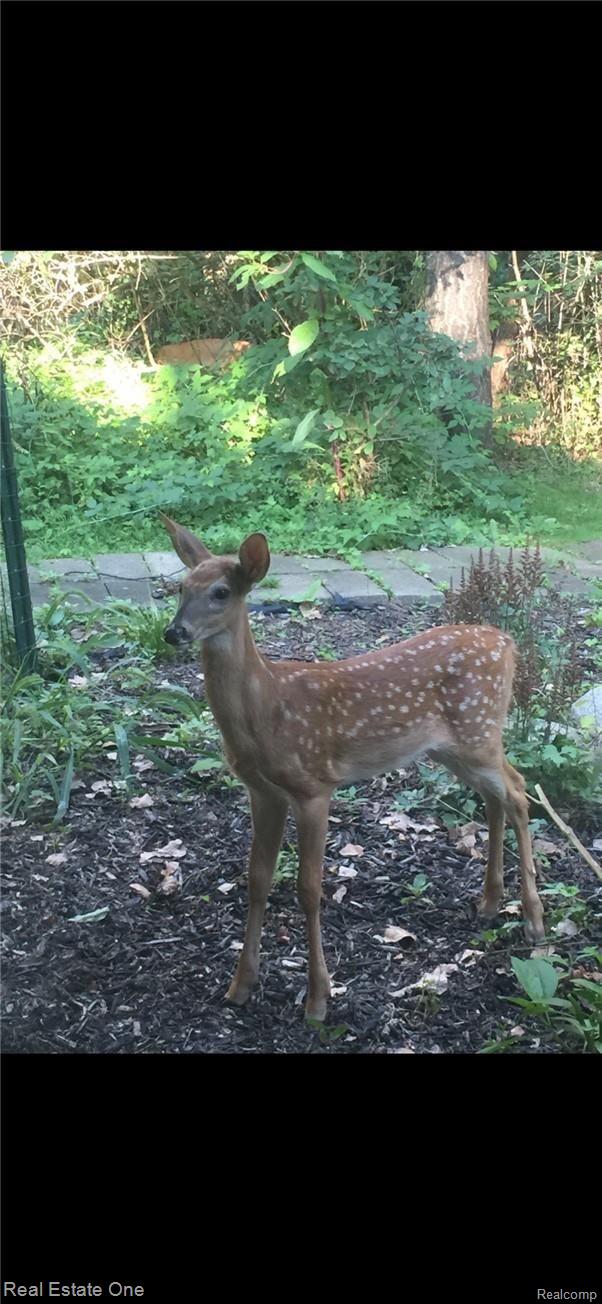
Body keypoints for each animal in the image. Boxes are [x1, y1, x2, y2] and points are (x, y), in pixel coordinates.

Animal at [161, 515, 546, 1022]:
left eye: (221, 592)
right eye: (180, 586)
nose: (174, 632)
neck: (267, 708)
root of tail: (508, 642)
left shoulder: (313, 787)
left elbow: (308, 889)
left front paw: (318, 999)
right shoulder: (262, 791)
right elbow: (257, 880)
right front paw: (241, 985)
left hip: (478, 732)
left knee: (520, 792)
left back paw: (534, 921)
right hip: (453, 748)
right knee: (498, 796)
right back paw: (489, 902)